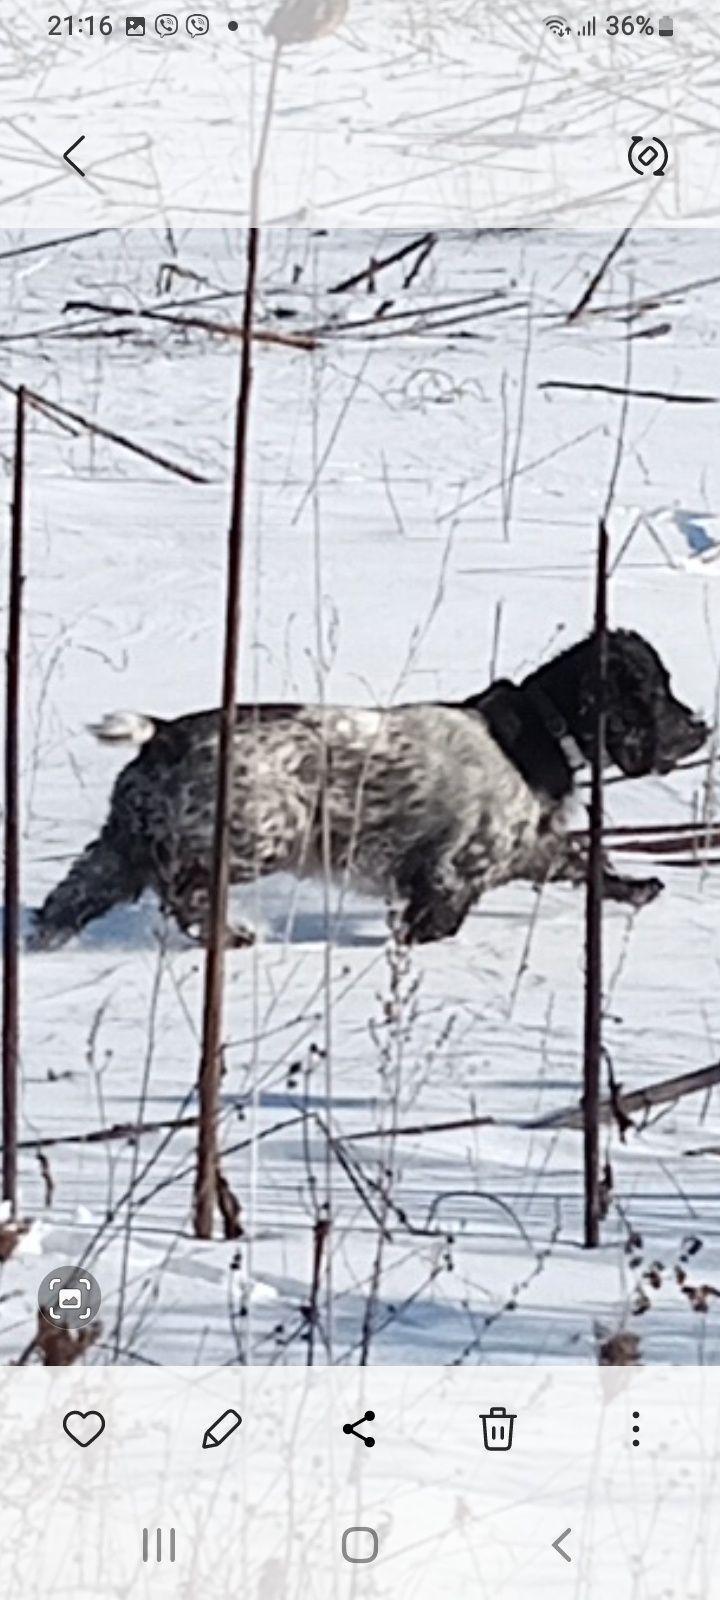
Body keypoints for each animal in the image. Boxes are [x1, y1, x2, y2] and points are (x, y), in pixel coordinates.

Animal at [31, 627, 707, 947]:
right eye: (657, 691)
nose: (701, 727)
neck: (537, 735)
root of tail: (164, 733)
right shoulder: (452, 870)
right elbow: (435, 922)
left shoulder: (527, 849)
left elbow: (585, 862)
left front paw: (639, 887)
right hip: (259, 834)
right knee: (184, 893)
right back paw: (237, 935)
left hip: (122, 845)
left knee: (72, 895)